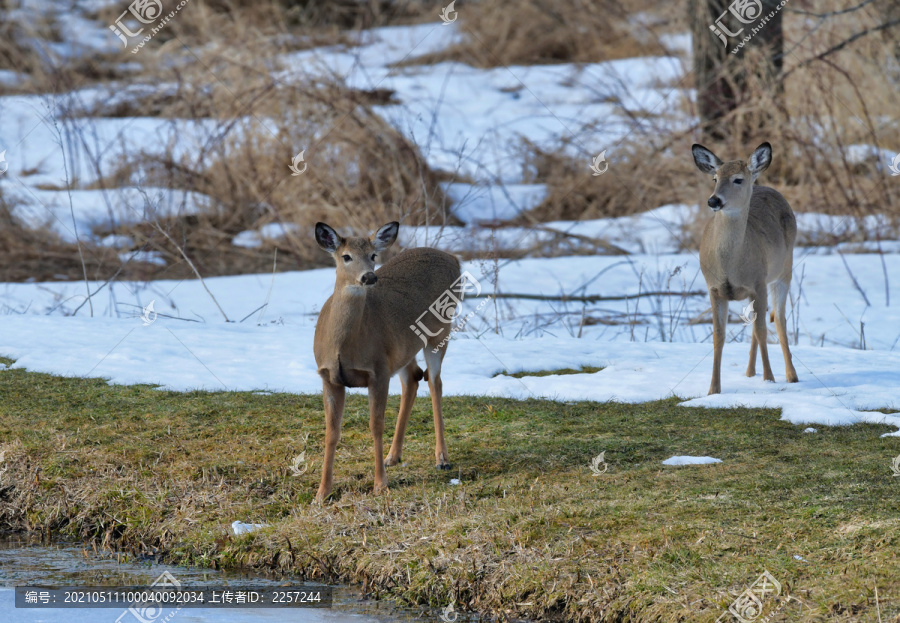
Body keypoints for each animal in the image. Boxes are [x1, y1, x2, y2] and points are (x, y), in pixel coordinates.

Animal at [312, 222, 464, 504]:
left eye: (373, 255)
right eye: (345, 256)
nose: (369, 277)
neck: (344, 346)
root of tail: (453, 258)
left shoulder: (379, 372)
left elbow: (376, 425)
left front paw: (380, 485)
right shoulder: (328, 376)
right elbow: (331, 432)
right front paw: (322, 492)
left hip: (440, 330)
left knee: (434, 381)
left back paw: (442, 458)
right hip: (403, 349)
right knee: (414, 378)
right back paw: (393, 456)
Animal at [692, 143, 800, 394]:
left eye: (738, 179)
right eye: (715, 178)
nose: (713, 201)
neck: (730, 265)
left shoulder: (758, 282)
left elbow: (762, 330)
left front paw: (769, 379)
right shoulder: (714, 288)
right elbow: (718, 335)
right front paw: (713, 389)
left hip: (784, 270)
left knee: (779, 319)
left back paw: (791, 375)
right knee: (757, 323)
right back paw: (750, 371)